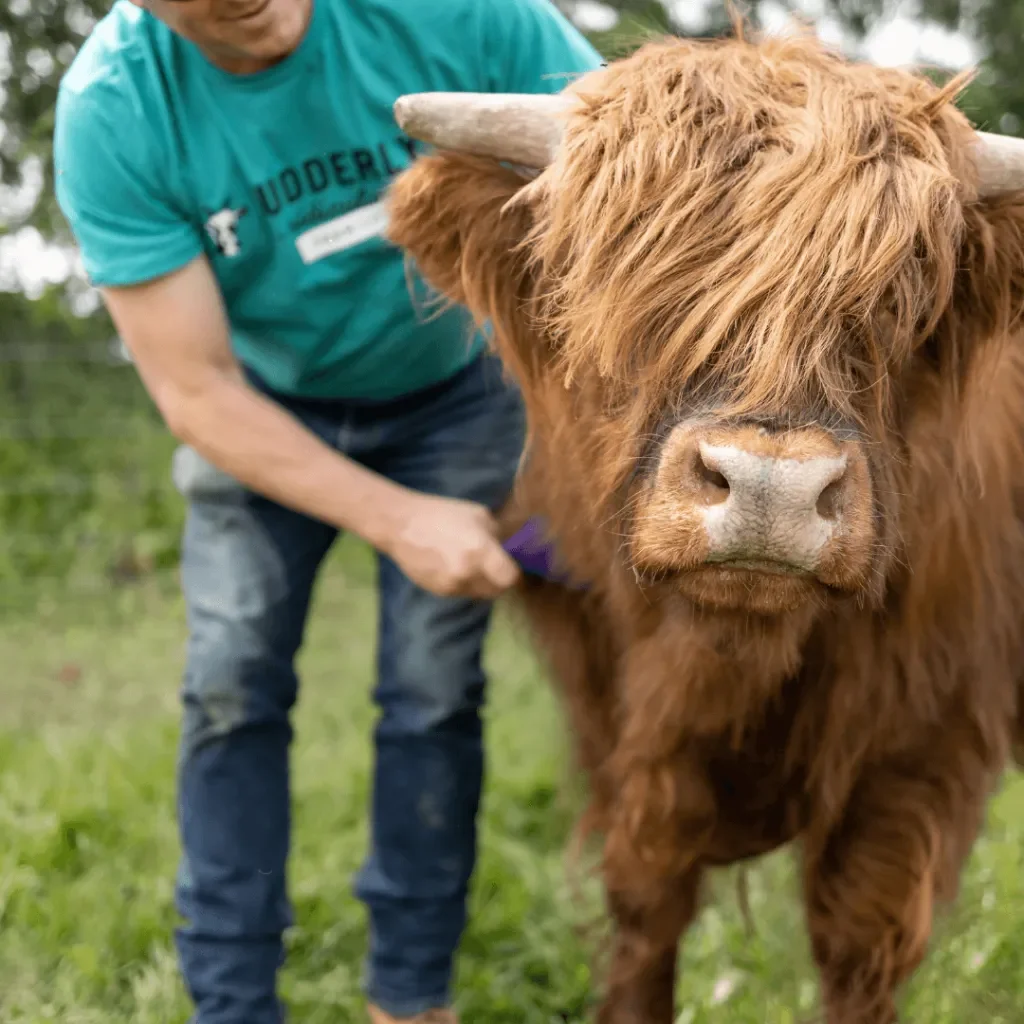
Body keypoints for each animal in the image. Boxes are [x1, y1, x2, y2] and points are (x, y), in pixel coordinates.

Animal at [383, 24, 1024, 1024]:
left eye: (901, 302)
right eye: (618, 274)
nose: (772, 489)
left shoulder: (928, 731)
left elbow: (859, 940)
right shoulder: (619, 723)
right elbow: (645, 908)